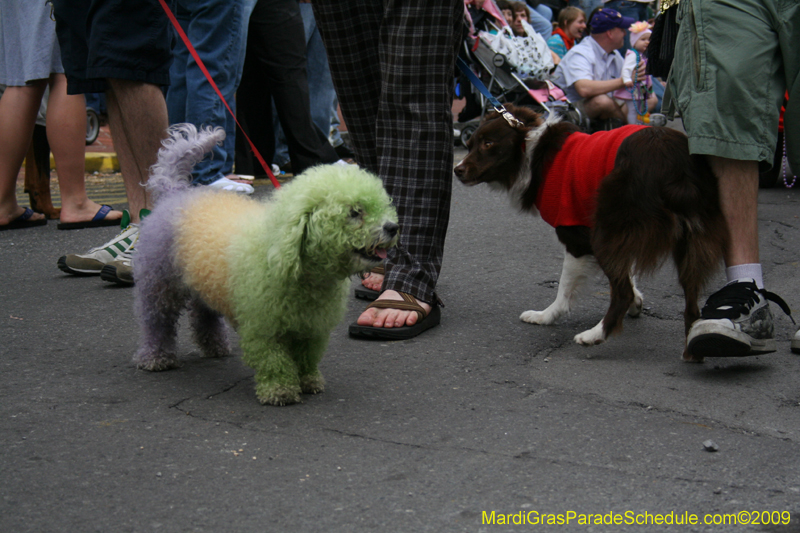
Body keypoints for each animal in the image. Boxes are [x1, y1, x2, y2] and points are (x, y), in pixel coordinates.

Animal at [454, 105, 728, 360]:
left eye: (488, 144)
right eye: (469, 144)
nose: (457, 170)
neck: (533, 154)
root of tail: (673, 163)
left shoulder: (576, 237)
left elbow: (565, 289)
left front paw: (545, 316)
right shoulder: (617, 237)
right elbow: (628, 274)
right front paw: (638, 301)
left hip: (607, 230)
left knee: (621, 293)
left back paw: (594, 335)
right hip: (688, 238)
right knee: (691, 304)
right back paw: (691, 351)